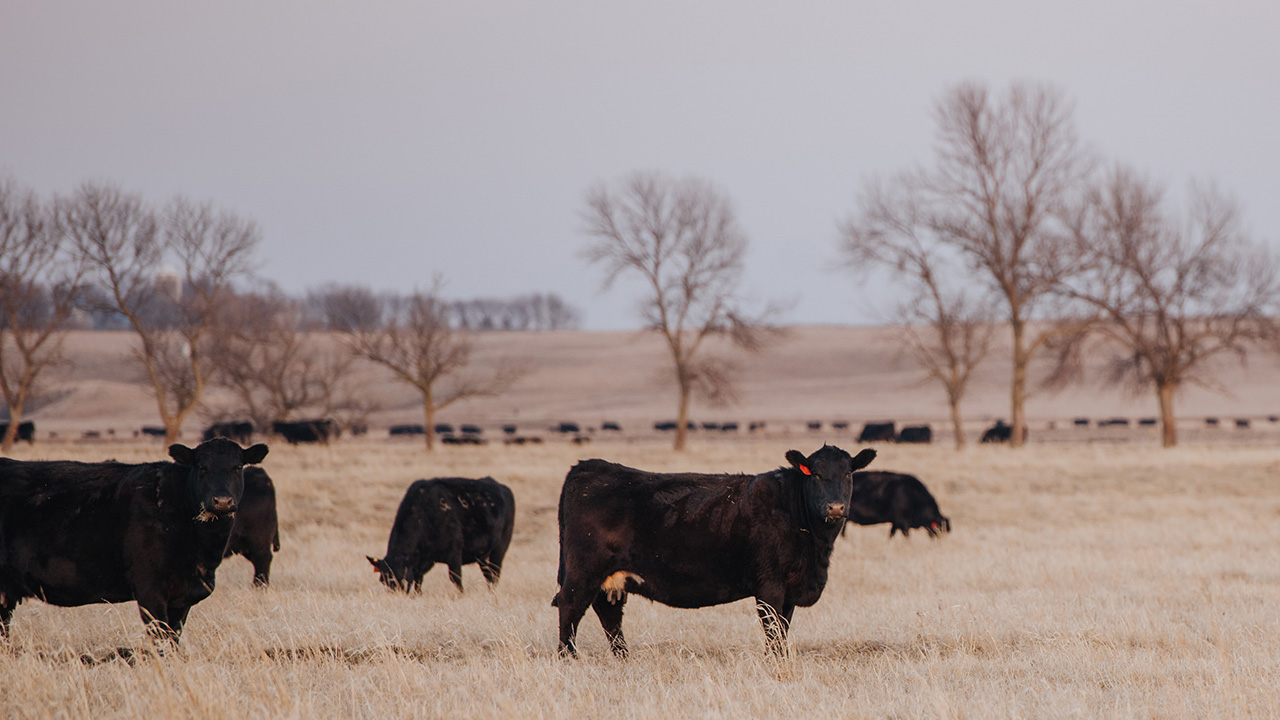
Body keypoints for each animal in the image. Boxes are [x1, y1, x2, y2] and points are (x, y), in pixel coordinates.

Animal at [0, 438, 269, 643]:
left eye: (237, 466)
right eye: (202, 467)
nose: (222, 501)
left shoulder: (183, 598)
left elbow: (174, 637)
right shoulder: (150, 589)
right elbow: (160, 638)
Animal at [367, 477, 515, 594]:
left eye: (403, 578)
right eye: (383, 580)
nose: (396, 595)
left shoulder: (454, 554)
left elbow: (455, 578)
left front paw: (462, 594)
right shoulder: (423, 561)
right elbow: (418, 580)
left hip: (499, 551)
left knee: (495, 574)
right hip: (483, 556)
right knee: (488, 574)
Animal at [553, 444, 877, 658]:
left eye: (848, 473)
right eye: (816, 475)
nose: (835, 507)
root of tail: (588, 466)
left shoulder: (790, 590)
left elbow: (783, 630)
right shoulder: (770, 585)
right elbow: (773, 631)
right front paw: (775, 662)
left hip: (611, 578)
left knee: (609, 614)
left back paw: (624, 658)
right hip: (583, 570)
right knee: (570, 607)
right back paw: (568, 658)